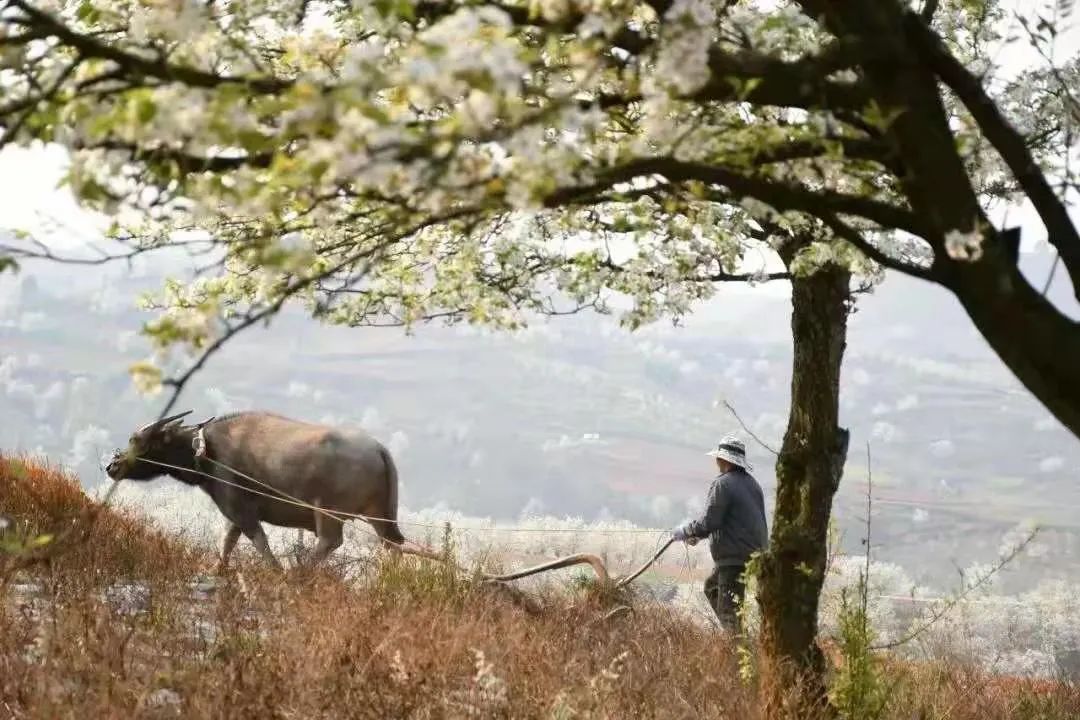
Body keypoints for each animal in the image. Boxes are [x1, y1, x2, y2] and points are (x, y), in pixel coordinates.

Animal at [105, 410, 406, 574]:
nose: (112, 466)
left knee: (330, 541)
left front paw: (276, 571)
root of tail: (378, 449)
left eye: (140, 443)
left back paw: (300, 572)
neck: (207, 452)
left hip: (327, 512)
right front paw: (217, 568)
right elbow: (227, 541)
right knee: (393, 545)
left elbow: (259, 541)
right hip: (380, 515)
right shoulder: (234, 512)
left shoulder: (239, 509)